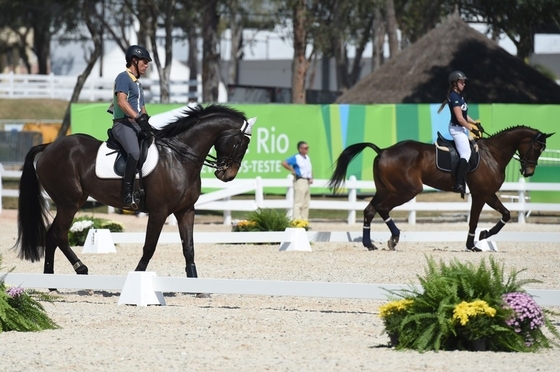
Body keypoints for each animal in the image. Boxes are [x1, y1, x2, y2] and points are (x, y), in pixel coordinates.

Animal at [15, 103, 256, 278]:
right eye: (241, 143)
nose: (227, 175)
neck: (179, 157)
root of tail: (49, 147)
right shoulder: (159, 211)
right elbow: (149, 247)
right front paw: (138, 277)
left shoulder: (186, 210)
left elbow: (188, 247)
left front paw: (196, 285)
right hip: (69, 203)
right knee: (59, 234)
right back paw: (80, 269)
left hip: (71, 202)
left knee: (52, 235)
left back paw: (51, 279)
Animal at [330, 126, 552, 251]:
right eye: (537, 147)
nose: (528, 171)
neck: (493, 154)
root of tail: (383, 150)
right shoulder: (481, 195)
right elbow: (473, 220)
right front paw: (472, 245)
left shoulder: (489, 194)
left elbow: (506, 214)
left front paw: (485, 235)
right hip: (407, 190)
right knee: (382, 208)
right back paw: (394, 238)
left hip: (386, 189)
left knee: (370, 210)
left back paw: (369, 244)